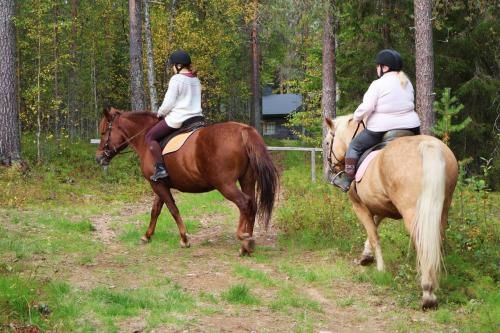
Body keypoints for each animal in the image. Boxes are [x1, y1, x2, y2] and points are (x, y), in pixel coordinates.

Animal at [95, 106, 280, 254]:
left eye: (103, 132)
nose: (98, 158)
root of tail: (243, 130)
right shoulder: (159, 184)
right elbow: (155, 210)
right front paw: (147, 236)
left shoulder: (157, 184)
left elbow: (172, 209)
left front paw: (184, 239)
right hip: (247, 179)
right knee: (252, 205)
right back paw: (247, 242)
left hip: (225, 184)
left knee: (244, 203)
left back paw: (243, 238)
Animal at [324, 114, 458, 308]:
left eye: (327, 142)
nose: (331, 168)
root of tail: (428, 146)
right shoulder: (380, 206)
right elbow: (374, 227)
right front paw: (366, 255)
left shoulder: (359, 205)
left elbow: (373, 234)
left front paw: (380, 268)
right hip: (442, 209)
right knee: (435, 240)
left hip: (413, 213)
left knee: (421, 242)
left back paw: (427, 292)